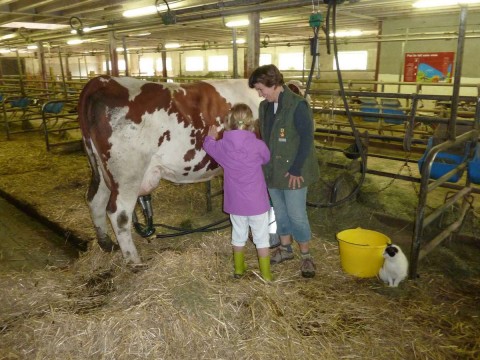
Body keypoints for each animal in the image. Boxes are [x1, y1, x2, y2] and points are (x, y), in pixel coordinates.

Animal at [77, 76, 264, 264]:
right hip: (127, 174)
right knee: (119, 214)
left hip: (102, 171)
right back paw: (134, 261)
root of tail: (103, 81)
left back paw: (106, 244)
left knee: (95, 200)